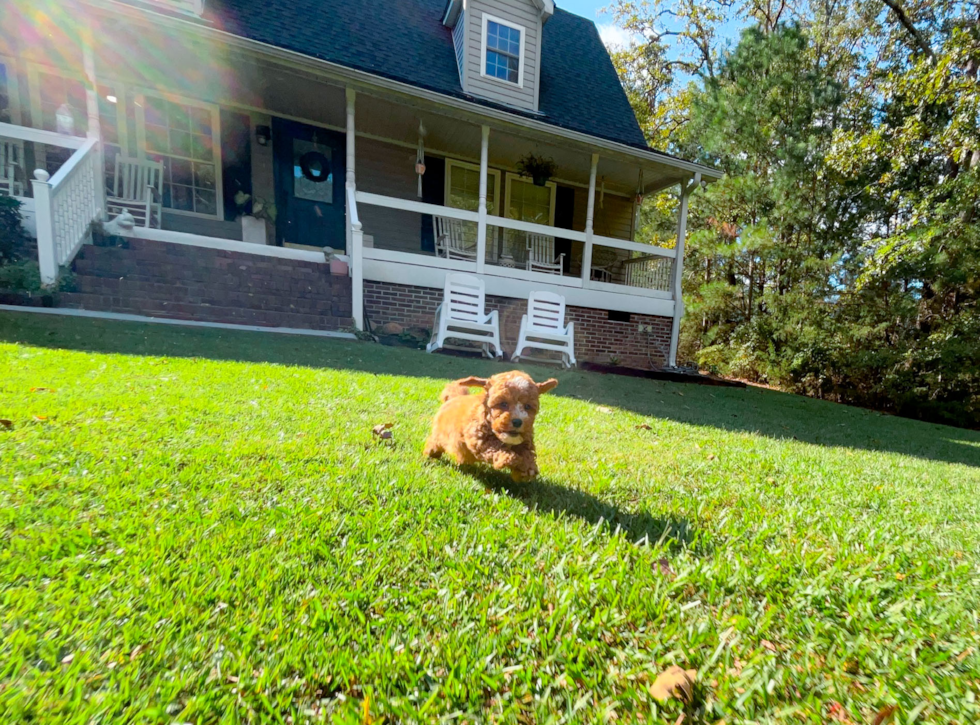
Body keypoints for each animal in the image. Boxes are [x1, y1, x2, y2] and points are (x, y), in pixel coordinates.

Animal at [424, 374, 560, 480]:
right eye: (503, 404)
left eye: (527, 406)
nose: (517, 421)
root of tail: (454, 398)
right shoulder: (478, 438)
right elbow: (493, 447)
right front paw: (509, 458)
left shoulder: (525, 440)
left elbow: (526, 452)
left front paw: (528, 468)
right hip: (440, 434)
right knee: (434, 443)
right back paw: (430, 454)